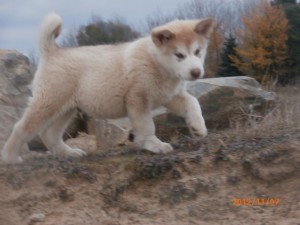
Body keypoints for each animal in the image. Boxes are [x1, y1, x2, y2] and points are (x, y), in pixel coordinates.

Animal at [1, 12, 214, 163]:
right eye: (179, 55)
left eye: (198, 51)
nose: (196, 72)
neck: (157, 63)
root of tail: (53, 52)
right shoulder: (137, 100)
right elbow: (147, 125)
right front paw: (153, 144)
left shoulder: (170, 96)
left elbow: (193, 102)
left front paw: (198, 127)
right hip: (48, 104)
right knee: (21, 128)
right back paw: (10, 159)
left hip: (66, 108)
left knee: (48, 134)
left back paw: (67, 153)